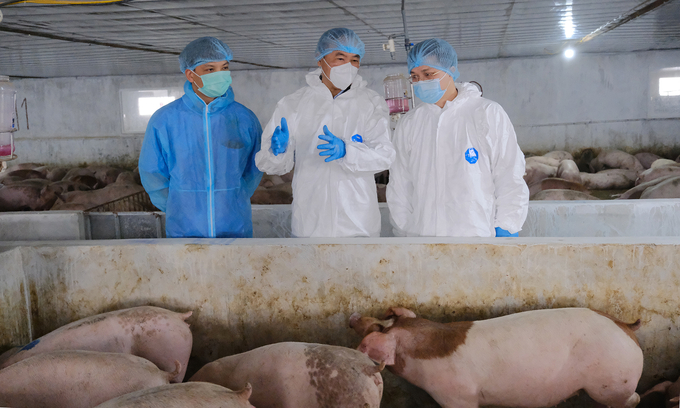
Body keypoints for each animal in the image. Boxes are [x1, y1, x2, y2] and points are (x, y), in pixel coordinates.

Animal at [350, 306, 644, 408]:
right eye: (384, 319)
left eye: (376, 328)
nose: (353, 316)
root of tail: (626, 327)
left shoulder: (457, 398)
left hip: (610, 383)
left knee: (633, 399)